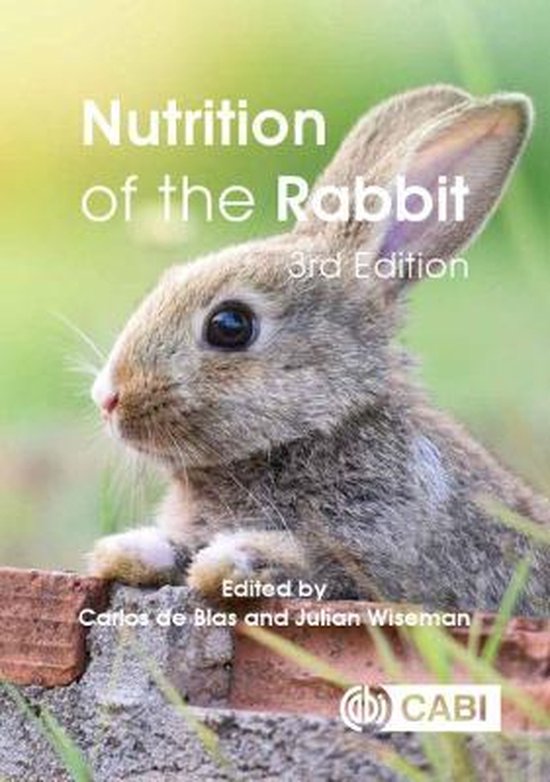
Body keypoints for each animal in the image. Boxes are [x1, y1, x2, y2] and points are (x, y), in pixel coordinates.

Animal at [88, 84, 550, 614]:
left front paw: (230, 561)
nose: (107, 397)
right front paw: (126, 551)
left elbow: (308, 562)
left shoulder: (376, 553)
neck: (318, 430)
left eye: (230, 325)